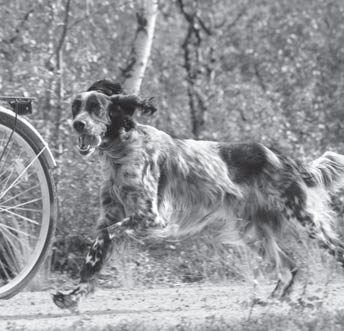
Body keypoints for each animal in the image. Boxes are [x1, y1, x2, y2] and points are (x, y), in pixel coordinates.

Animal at [53, 80, 344, 308]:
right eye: (76, 107)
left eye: (96, 108)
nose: (77, 124)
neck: (121, 153)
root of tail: (286, 159)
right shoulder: (112, 216)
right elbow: (93, 257)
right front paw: (73, 296)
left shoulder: (151, 217)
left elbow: (107, 235)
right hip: (251, 233)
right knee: (289, 266)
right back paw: (271, 300)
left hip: (303, 220)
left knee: (334, 250)